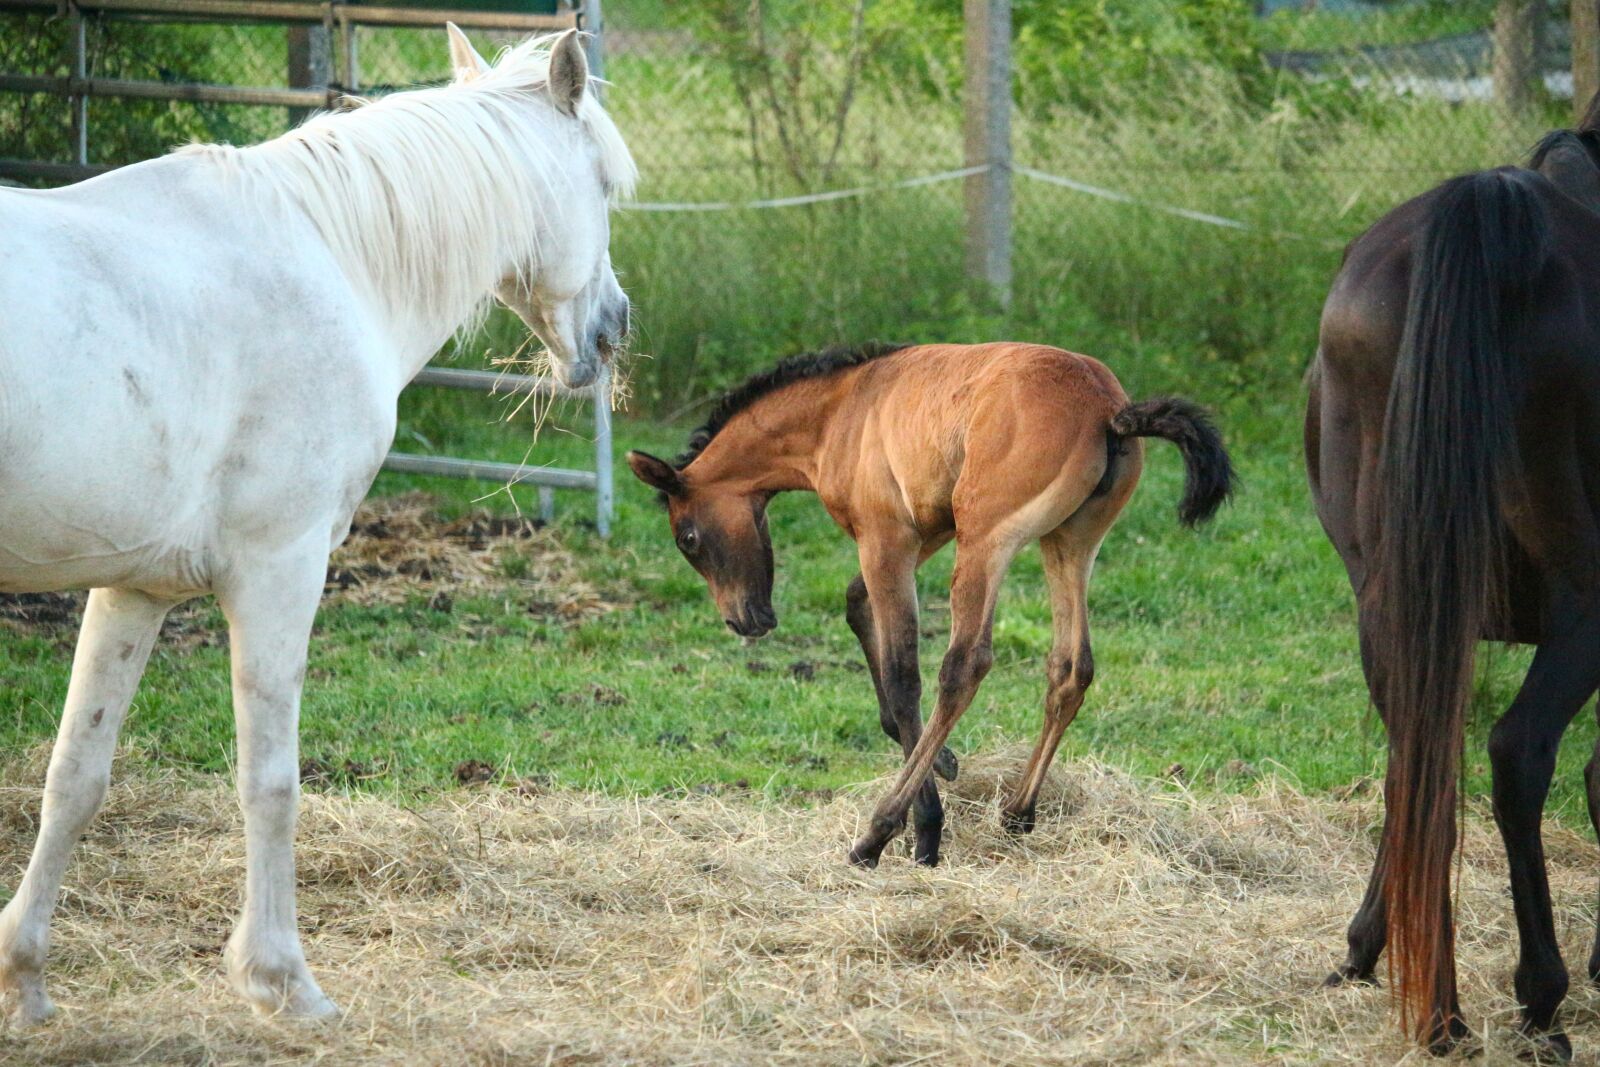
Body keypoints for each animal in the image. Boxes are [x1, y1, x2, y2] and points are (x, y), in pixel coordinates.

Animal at [0, 26, 634, 1026]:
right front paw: (281, 978)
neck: (332, 260)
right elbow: (270, 782)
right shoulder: (281, 570)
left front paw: (23, 978)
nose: (613, 328)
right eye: (604, 183)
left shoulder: (133, 588)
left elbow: (75, 776)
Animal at [627, 342, 1233, 867]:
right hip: (1070, 541)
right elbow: (857, 605)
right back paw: (1018, 813)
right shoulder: (928, 529)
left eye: (687, 538)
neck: (840, 410)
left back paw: (876, 834)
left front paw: (926, 827)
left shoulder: (886, 538)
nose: (745, 620)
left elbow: (903, 675)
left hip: (988, 539)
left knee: (964, 666)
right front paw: (939, 760)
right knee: (1070, 666)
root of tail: (1108, 408)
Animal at [1306, 104, 1600, 1058]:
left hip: (1391, 597)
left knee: (1419, 750)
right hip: (1587, 601)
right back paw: (1538, 997)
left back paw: (1432, 1003)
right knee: (1517, 752)